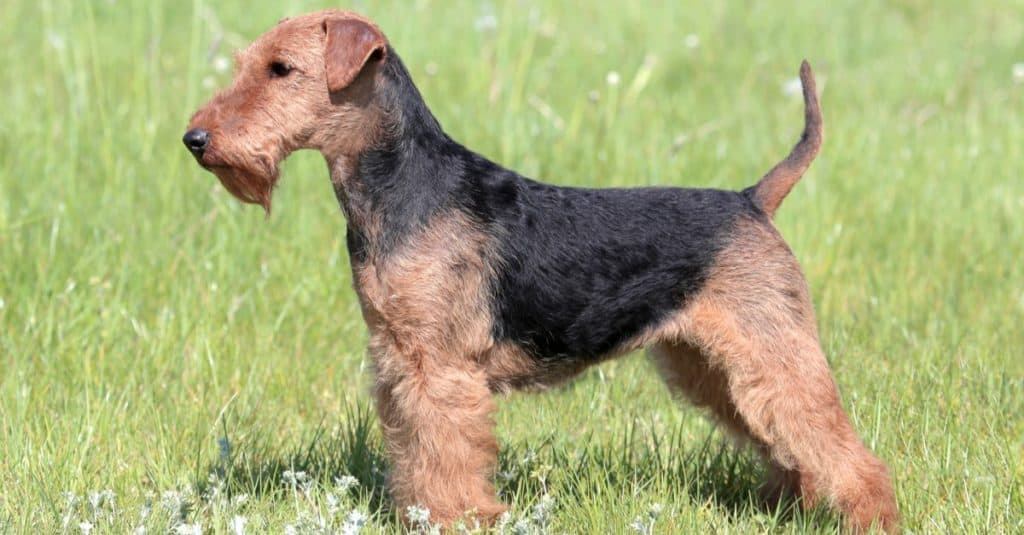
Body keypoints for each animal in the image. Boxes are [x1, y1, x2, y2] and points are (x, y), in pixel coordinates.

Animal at [182, 9, 897, 528]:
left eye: (282, 69)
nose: (196, 139)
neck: (400, 187)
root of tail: (752, 199)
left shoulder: (440, 368)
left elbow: (446, 454)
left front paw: (458, 519)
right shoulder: (397, 356)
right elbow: (414, 453)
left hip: (771, 352)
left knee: (844, 452)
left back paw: (869, 515)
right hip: (710, 365)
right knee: (793, 450)